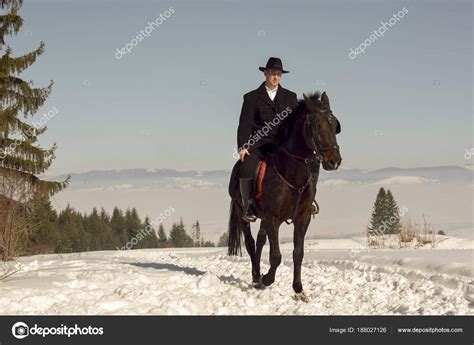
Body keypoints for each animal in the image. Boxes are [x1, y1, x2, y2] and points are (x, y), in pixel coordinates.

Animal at [229, 90, 342, 298]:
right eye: (317, 124)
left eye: (334, 124)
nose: (334, 161)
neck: (292, 173)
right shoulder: (273, 217)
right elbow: (276, 256)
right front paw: (266, 279)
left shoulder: (302, 217)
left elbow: (298, 253)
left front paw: (298, 289)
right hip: (243, 212)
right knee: (250, 243)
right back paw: (256, 276)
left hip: (264, 218)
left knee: (260, 240)